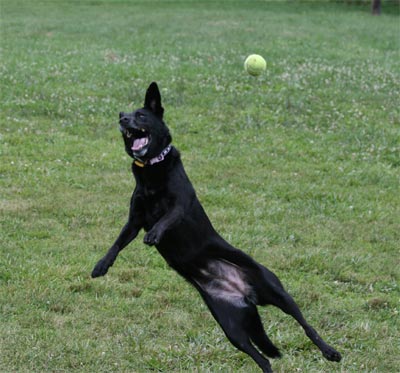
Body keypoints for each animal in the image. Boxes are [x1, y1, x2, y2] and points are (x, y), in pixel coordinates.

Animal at [92, 81, 342, 370]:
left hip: (277, 291)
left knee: (306, 326)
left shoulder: (181, 204)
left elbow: (166, 218)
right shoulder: (134, 220)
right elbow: (118, 242)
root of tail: (244, 292)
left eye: (141, 115)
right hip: (231, 328)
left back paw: (330, 352)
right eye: (124, 115)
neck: (152, 168)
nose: (122, 119)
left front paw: (154, 235)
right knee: (263, 359)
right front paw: (101, 266)